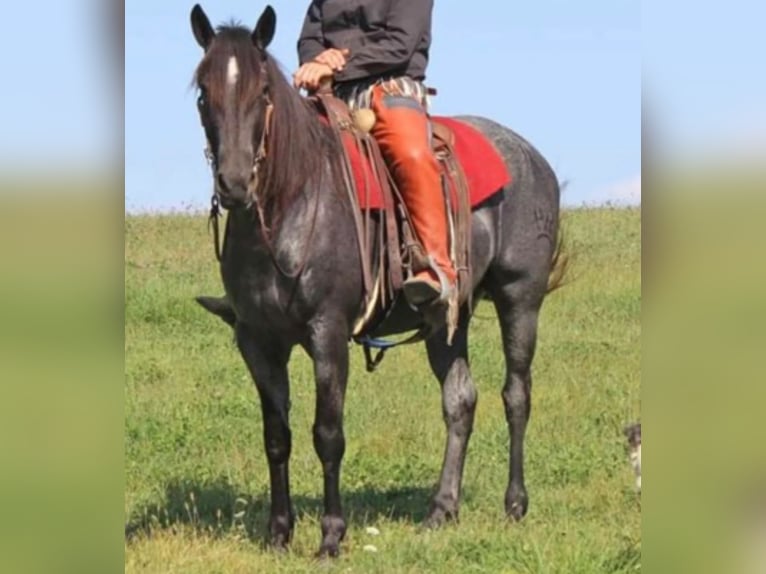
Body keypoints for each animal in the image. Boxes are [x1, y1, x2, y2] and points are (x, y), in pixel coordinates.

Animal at [189, 4, 564, 558]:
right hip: (445, 320)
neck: (292, 205)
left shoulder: (327, 333)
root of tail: (534, 158)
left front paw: (330, 536)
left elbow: (328, 433)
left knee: (516, 394)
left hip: (521, 298)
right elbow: (276, 435)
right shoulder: (257, 340)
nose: (234, 185)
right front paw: (279, 533)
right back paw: (441, 509)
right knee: (460, 401)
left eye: (262, 93)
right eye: (202, 93)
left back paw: (514, 504)